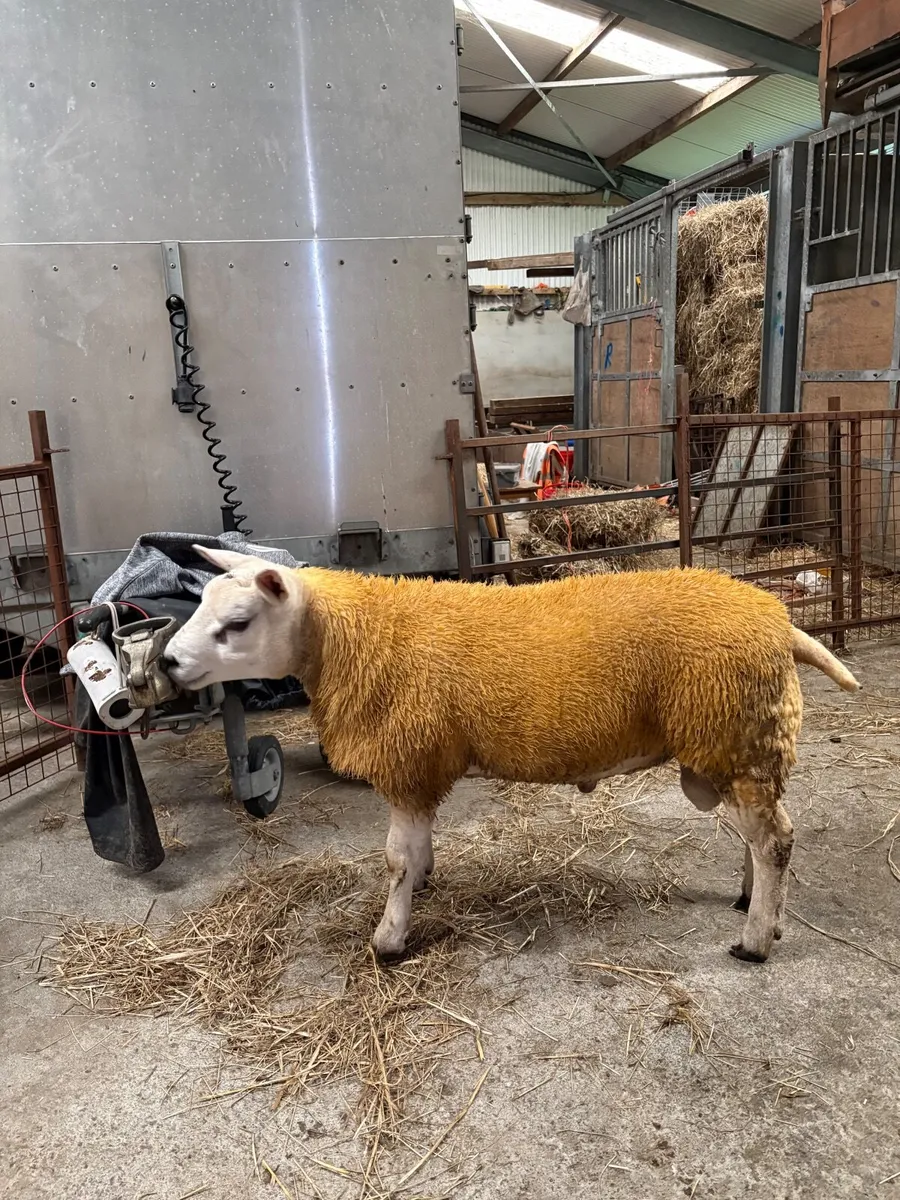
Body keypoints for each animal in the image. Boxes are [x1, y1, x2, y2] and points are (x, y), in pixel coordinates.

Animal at [163, 547, 860, 966]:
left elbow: (393, 860)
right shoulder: (422, 762)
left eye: (238, 623)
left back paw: (755, 941)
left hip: (732, 733)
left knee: (774, 840)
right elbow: (416, 848)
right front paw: (422, 884)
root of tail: (778, 621)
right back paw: (753, 905)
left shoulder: (408, 758)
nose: (167, 662)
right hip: (736, 745)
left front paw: (389, 937)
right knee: (761, 837)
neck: (347, 640)